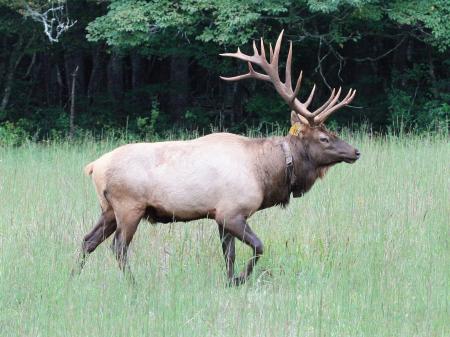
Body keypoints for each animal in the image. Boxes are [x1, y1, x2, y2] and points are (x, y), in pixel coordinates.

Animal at [75, 30, 360, 284]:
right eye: (323, 138)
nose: (355, 151)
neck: (266, 174)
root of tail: (93, 167)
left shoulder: (219, 214)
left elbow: (229, 255)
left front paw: (230, 280)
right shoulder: (232, 211)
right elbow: (258, 246)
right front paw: (240, 279)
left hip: (108, 209)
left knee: (87, 240)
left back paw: (72, 277)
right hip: (129, 206)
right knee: (118, 247)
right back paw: (133, 284)